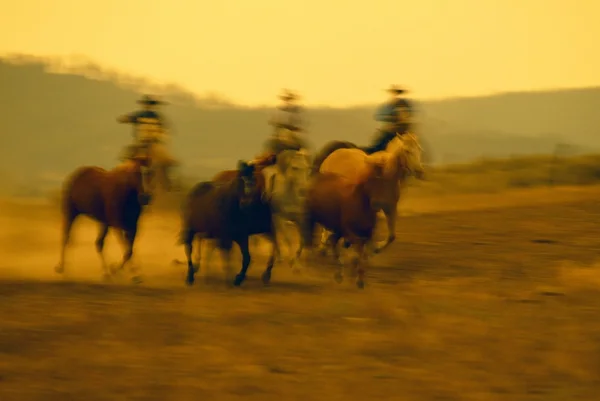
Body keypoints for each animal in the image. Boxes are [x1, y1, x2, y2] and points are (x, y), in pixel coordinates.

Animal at [54, 153, 157, 282]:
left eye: (150, 172)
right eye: (136, 172)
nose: (145, 197)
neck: (126, 194)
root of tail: (75, 175)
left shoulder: (133, 226)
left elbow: (130, 250)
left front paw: (130, 273)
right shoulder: (117, 225)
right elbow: (127, 249)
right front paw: (121, 271)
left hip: (103, 222)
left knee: (98, 243)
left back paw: (105, 273)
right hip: (71, 214)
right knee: (66, 238)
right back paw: (62, 269)